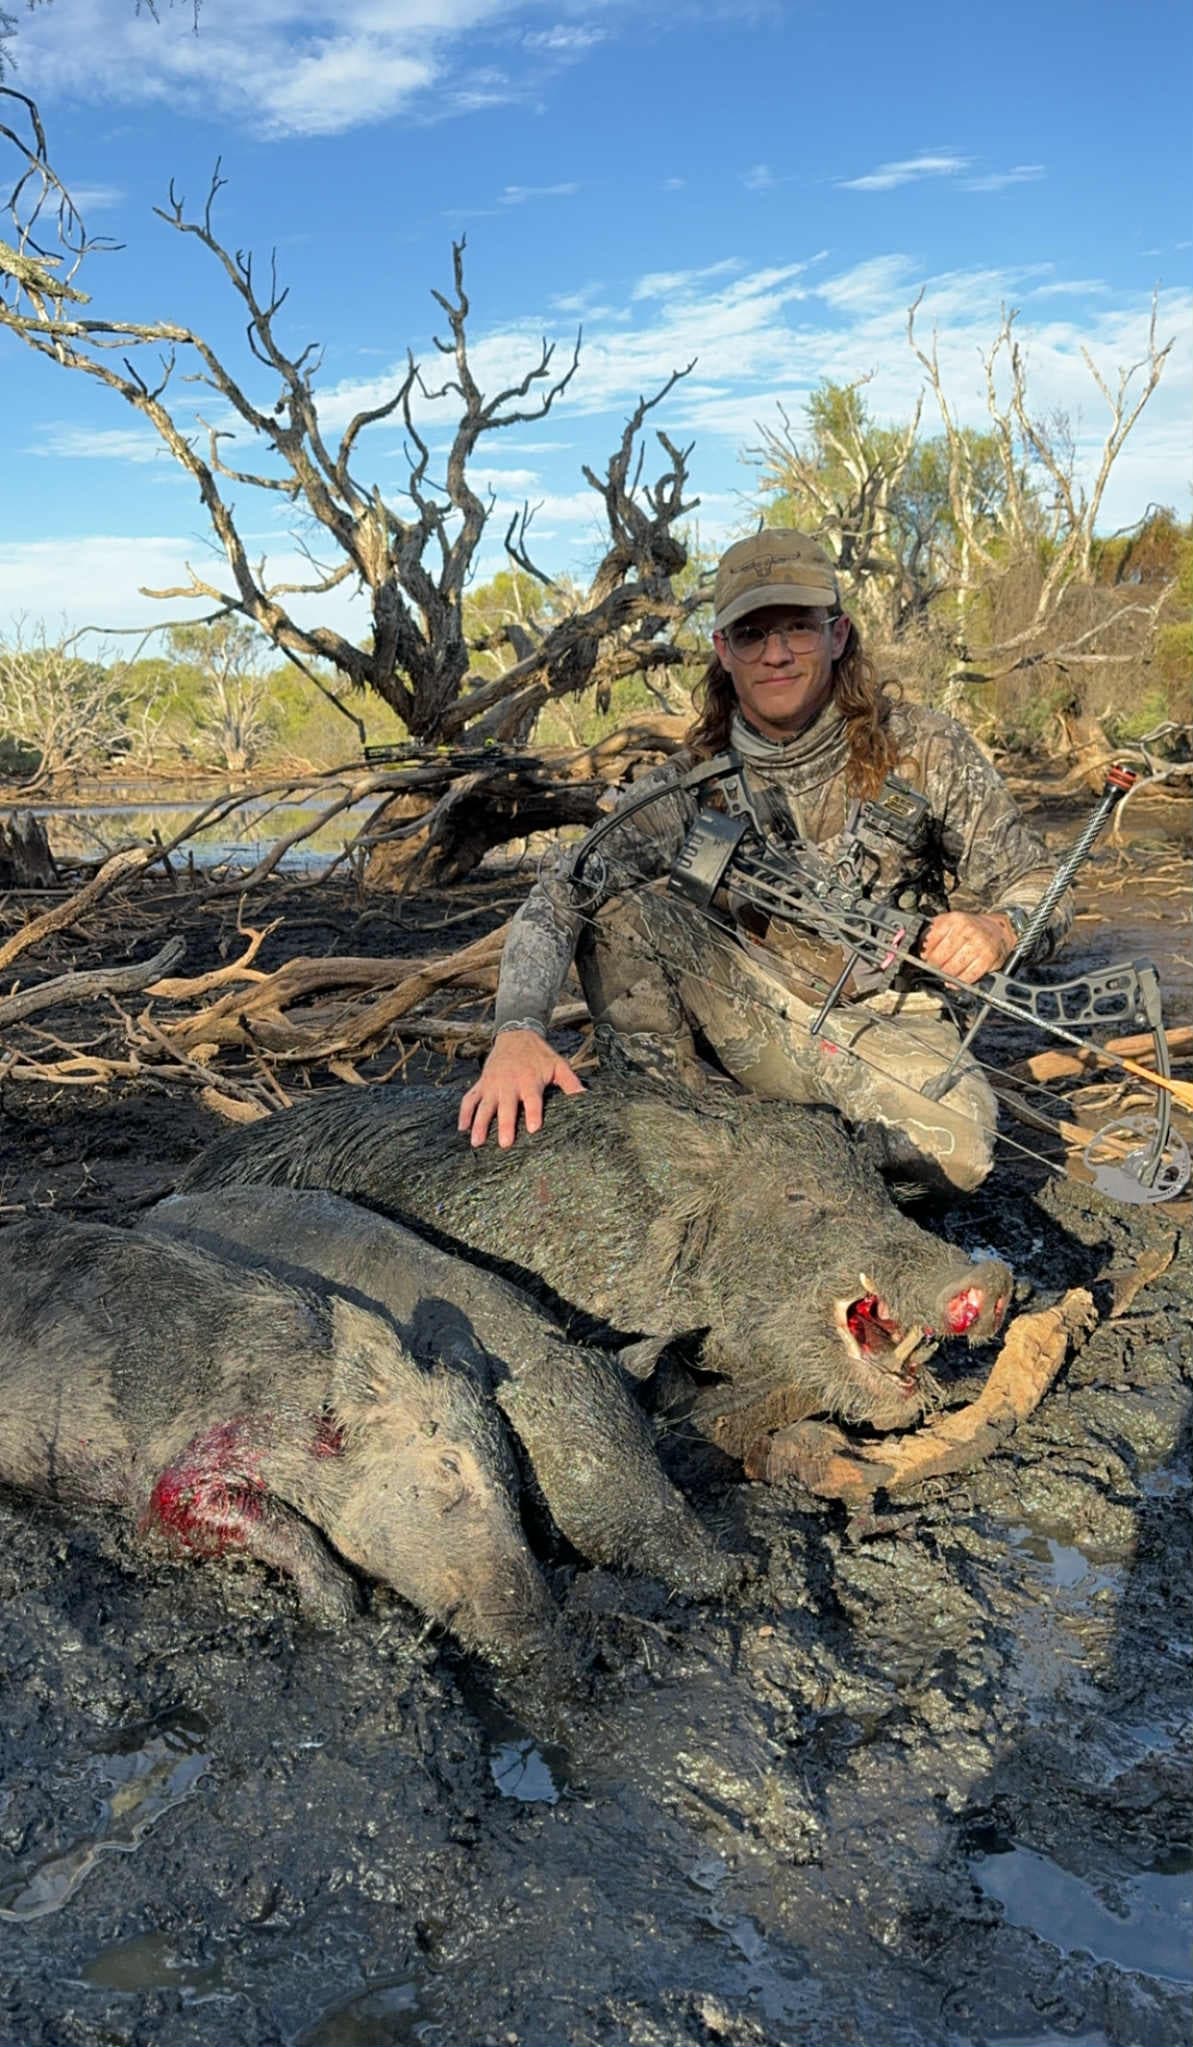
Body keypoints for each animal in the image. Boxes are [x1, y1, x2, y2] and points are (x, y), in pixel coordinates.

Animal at [0, 1214, 571, 1686]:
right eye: (450, 1463)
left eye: (515, 1477)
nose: (546, 1639)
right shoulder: (191, 1460)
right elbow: (178, 1511)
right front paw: (341, 1606)